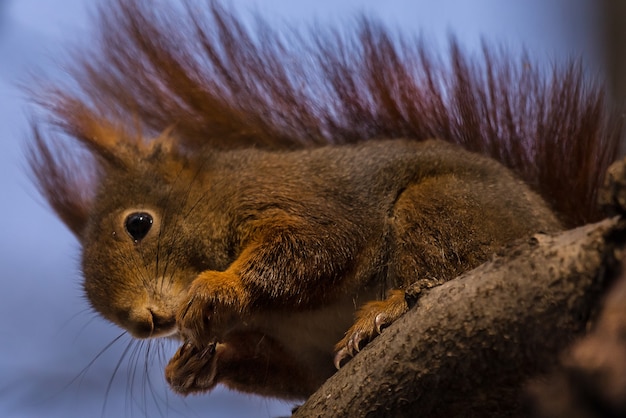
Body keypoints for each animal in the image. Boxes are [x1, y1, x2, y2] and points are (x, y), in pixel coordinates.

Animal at [25, 0, 620, 400]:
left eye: (139, 223)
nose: (145, 324)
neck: (213, 197)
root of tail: (557, 222)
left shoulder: (298, 198)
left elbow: (319, 244)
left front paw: (220, 288)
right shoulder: (298, 352)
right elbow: (293, 373)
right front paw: (191, 366)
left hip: (442, 206)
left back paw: (382, 312)